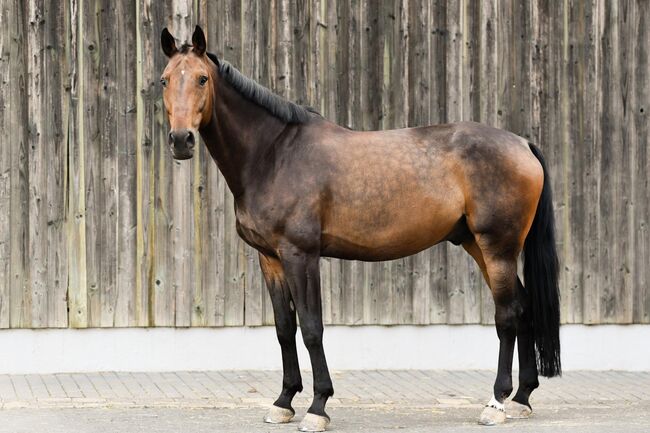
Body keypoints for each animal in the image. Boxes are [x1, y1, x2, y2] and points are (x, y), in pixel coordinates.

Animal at [159, 26, 560, 428]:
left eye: (202, 78)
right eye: (164, 80)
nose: (180, 140)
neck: (274, 154)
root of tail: (522, 143)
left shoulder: (300, 255)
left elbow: (312, 328)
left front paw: (318, 406)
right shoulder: (269, 258)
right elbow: (285, 329)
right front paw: (284, 401)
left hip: (497, 247)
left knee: (507, 315)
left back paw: (496, 402)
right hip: (477, 245)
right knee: (523, 307)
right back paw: (521, 398)